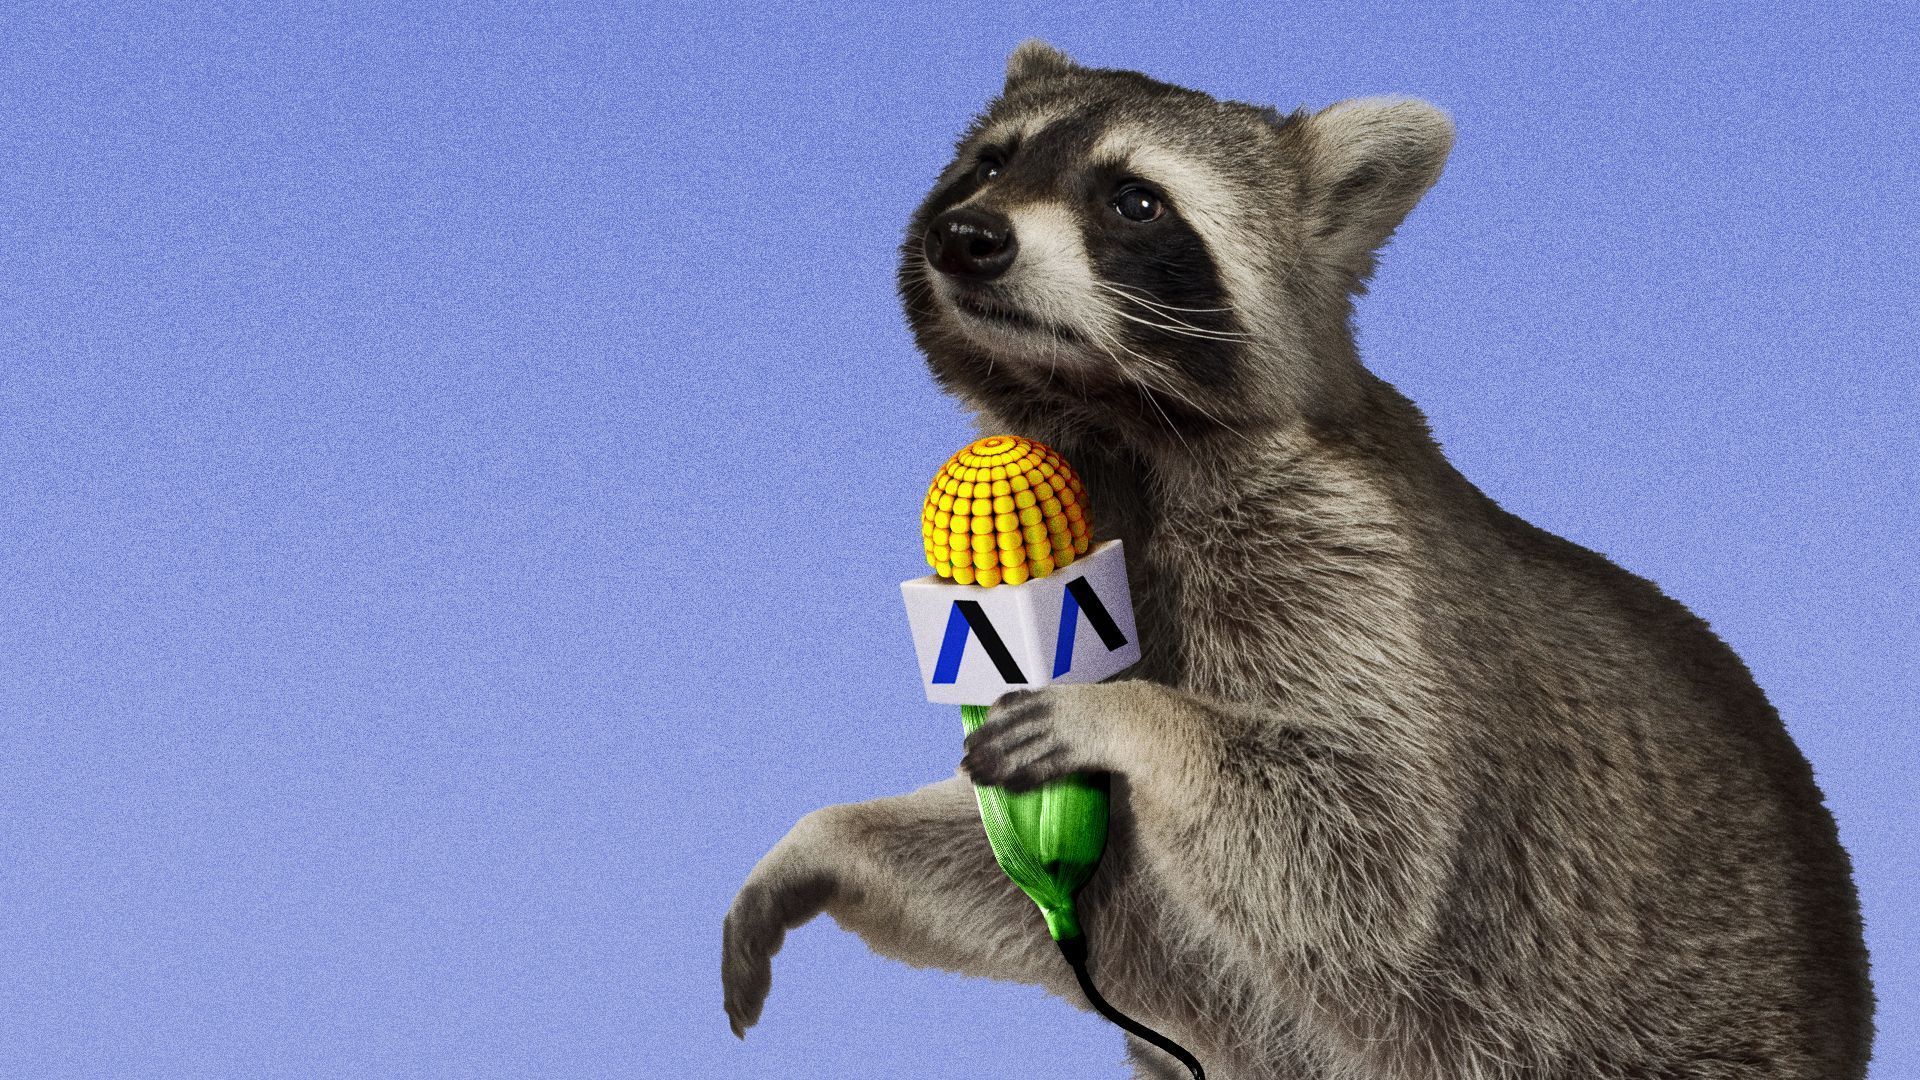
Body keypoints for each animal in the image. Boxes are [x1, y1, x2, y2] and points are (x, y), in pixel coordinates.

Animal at [722, 40, 1873, 1080]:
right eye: (989, 164)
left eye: (1134, 202)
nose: (968, 236)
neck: (1110, 427)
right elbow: (1103, 908)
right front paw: (831, 834)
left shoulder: (1343, 557)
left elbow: (1374, 851)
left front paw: (1137, 718)